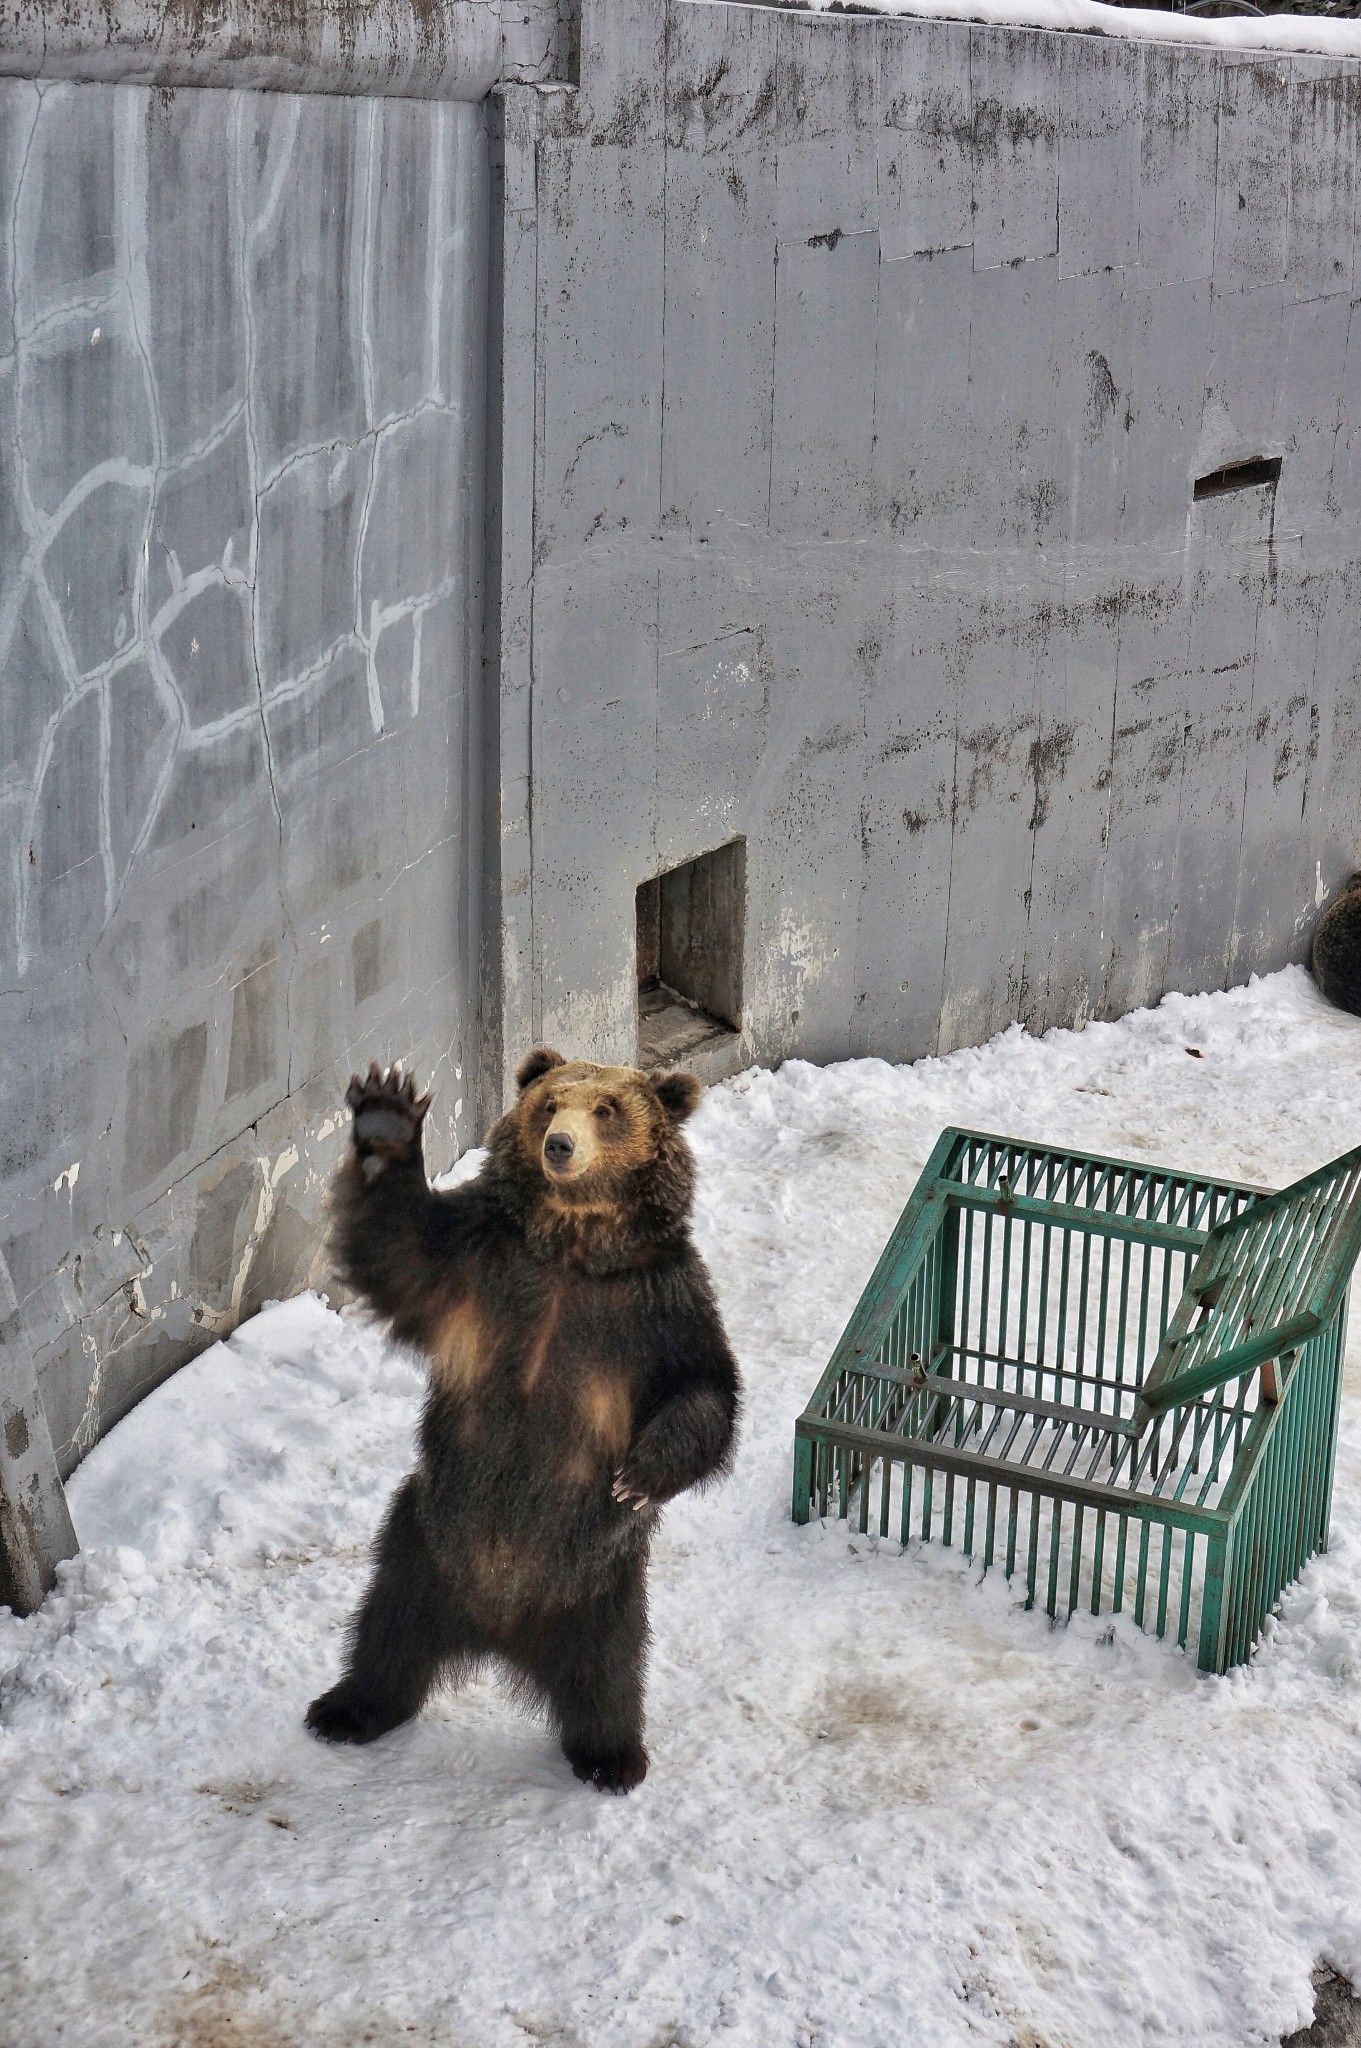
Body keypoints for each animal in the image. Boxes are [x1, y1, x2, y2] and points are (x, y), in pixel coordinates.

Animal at [302, 1056, 736, 1794]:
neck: (572, 1249)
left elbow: (705, 1391)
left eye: (607, 1109)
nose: (559, 1146)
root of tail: (498, 1631)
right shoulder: (479, 1262)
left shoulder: (660, 1306)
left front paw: (639, 1474)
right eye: (551, 1102)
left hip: (600, 1582)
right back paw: (347, 1709)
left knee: (608, 1670)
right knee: (386, 1630)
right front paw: (386, 1113)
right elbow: (397, 1245)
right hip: (423, 1541)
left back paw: (612, 1756)